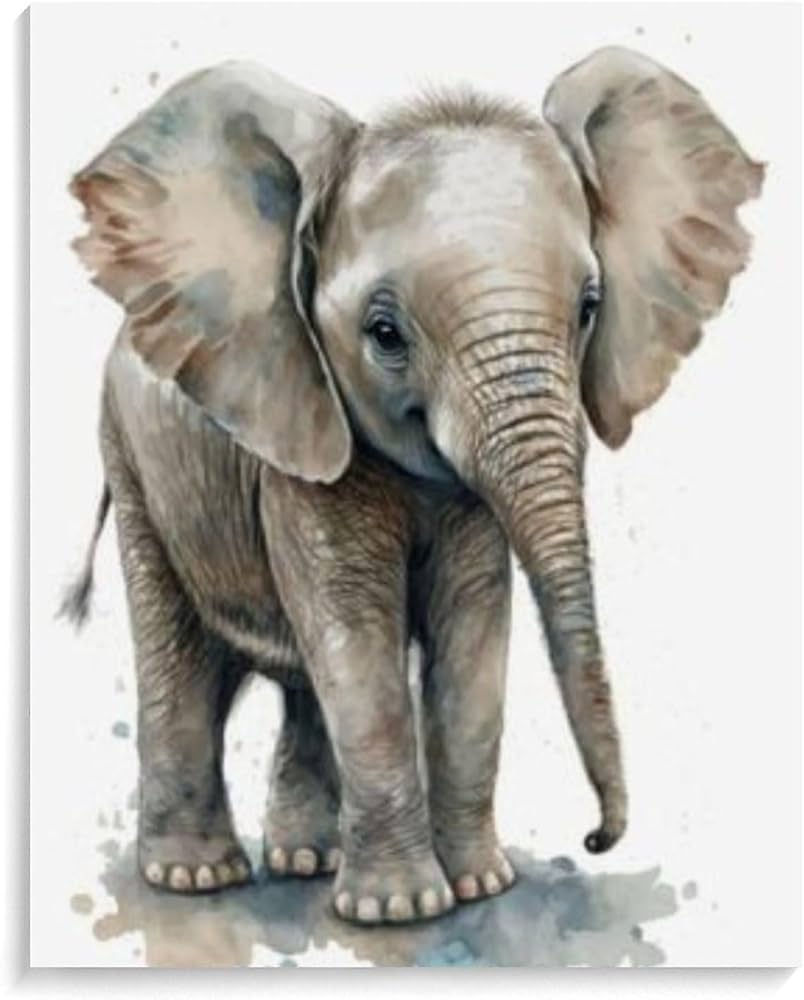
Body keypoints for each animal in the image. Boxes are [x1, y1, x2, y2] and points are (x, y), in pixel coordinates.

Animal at [63, 46, 762, 926]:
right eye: (384, 334)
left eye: (589, 308)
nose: (598, 837)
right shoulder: (303, 435)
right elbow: (356, 636)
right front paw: (401, 911)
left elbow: (472, 634)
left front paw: (478, 887)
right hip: (133, 459)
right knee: (179, 653)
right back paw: (196, 879)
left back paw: (306, 861)